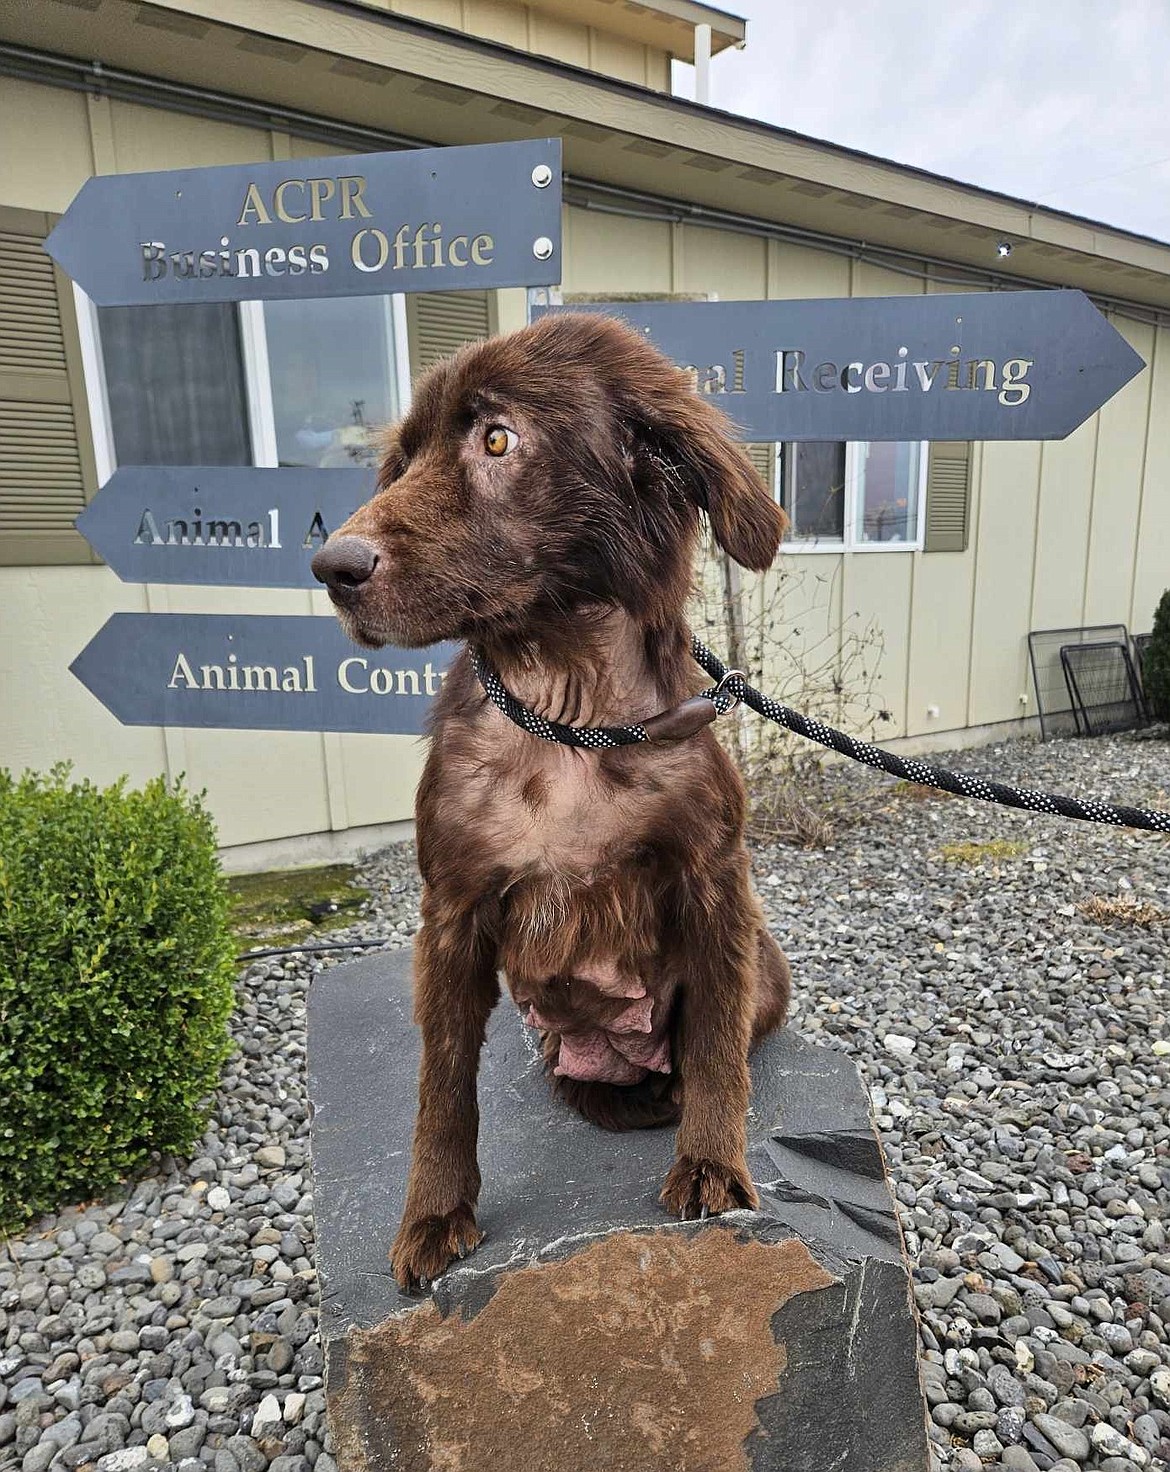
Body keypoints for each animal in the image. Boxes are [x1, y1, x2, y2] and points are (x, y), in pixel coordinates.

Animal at [310, 310, 788, 1289]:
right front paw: (434, 1215)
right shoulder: (450, 913)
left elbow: (718, 1047)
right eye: (403, 458)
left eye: (498, 439)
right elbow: (443, 1088)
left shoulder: (716, 884)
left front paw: (711, 1162)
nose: (331, 566)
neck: (567, 715)